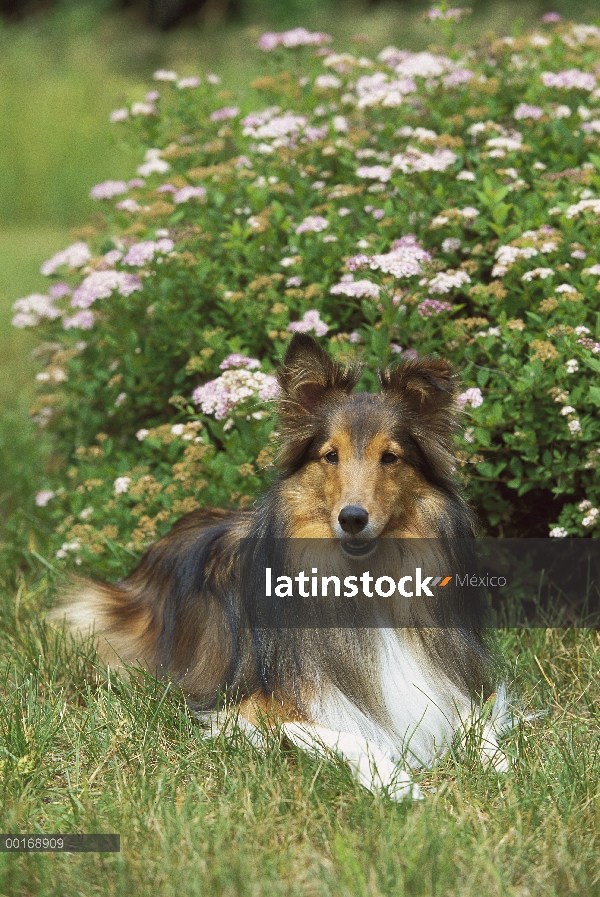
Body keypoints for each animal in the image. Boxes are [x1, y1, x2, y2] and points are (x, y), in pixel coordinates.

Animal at [54, 334, 508, 800]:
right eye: (331, 456)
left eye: (390, 457)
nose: (353, 518)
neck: (364, 580)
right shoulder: (253, 706)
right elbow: (350, 736)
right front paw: (395, 782)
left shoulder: (452, 680)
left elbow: (476, 717)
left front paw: (497, 763)